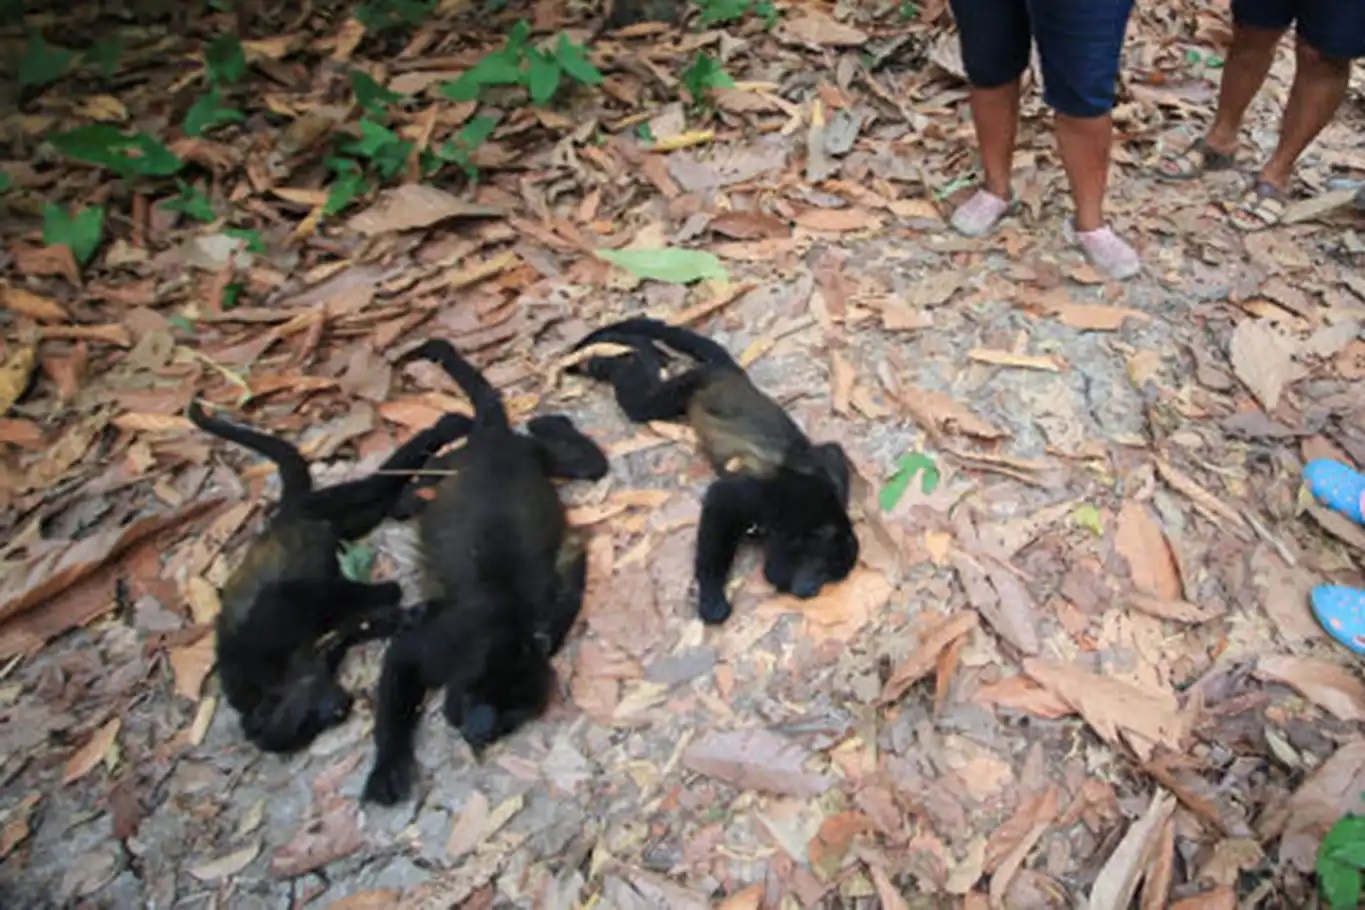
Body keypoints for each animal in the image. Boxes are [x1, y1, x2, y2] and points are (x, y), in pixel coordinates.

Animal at [189, 401, 472, 753]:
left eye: (303, 720)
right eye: (309, 729)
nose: (339, 710)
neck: (275, 680)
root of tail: (281, 516)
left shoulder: (269, 623)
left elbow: (306, 593)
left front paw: (389, 591)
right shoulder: (317, 657)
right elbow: (348, 631)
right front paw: (407, 617)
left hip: (318, 506)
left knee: (370, 486)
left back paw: (444, 430)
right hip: (335, 521)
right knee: (372, 508)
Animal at [360, 339, 606, 802]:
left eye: (513, 717)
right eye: (483, 699)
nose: (481, 731)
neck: (504, 630)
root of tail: (496, 439)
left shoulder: (545, 620)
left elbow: (570, 578)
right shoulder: (451, 640)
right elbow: (402, 657)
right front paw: (388, 764)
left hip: (534, 456)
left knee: (587, 465)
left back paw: (554, 423)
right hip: (461, 459)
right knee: (418, 490)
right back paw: (412, 493)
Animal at [570, 320, 857, 627]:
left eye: (829, 578)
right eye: (823, 569)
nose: (812, 590)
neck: (810, 515)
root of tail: (731, 373)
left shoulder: (825, 474)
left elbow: (831, 450)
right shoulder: (771, 496)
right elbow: (721, 500)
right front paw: (712, 598)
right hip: (694, 382)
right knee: (642, 403)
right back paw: (615, 360)